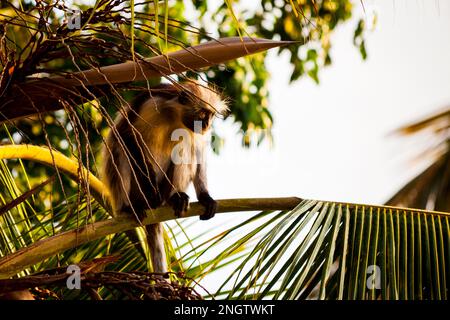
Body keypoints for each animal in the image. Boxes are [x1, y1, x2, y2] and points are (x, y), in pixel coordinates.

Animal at [102, 79, 229, 272]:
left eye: (212, 115)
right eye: (202, 113)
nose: (207, 124)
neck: (175, 114)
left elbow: (198, 150)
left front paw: (205, 197)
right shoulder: (152, 102)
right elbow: (126, 134)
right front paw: (149, 187)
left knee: (185, 148)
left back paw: (174, 198)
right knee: (120, 148)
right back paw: (130, 207)